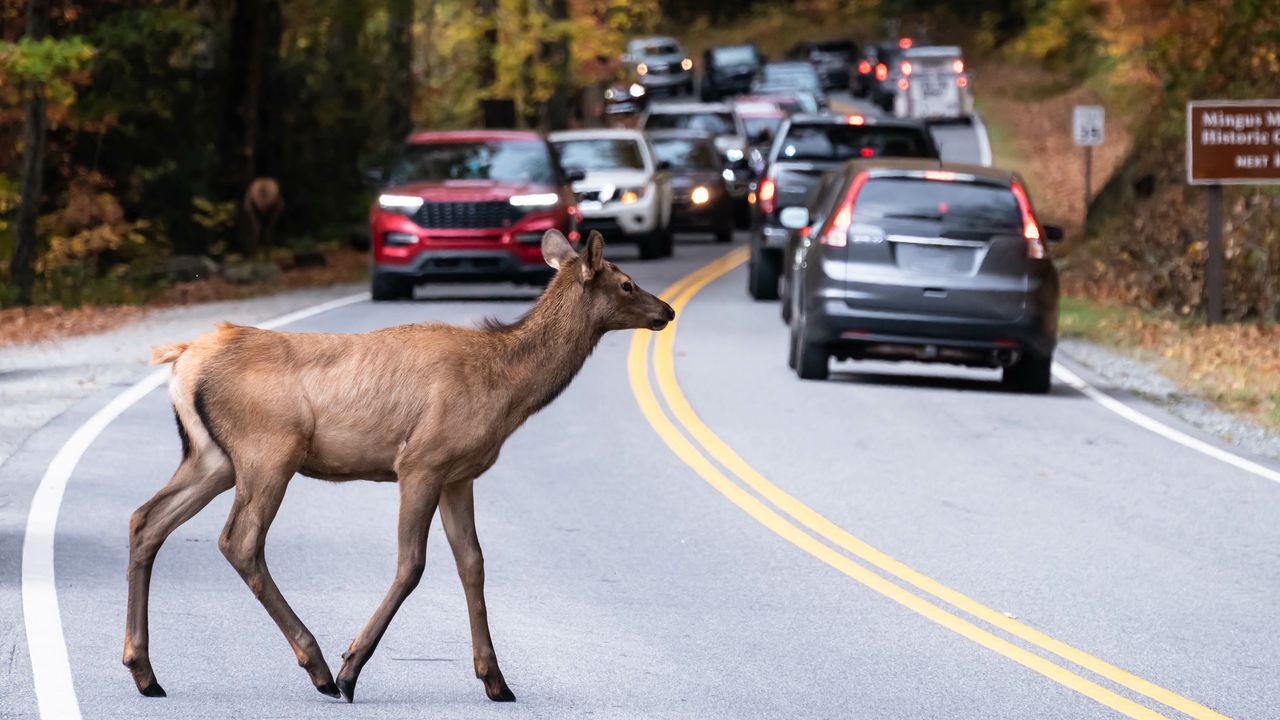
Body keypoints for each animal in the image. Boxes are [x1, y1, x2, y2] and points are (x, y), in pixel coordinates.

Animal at [123, 229, 675, 702]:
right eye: (626, 283)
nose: (666, 310)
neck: (505, 390)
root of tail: (181, 358)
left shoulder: (459, 474)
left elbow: (472, 563)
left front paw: (495, 679)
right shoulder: (421, 461)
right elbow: (412, 564)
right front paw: (352, 667)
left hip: (213, 458)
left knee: (147, 520)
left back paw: (145, 672)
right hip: (268, 450)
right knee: (238, 540)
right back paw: (319, 667)